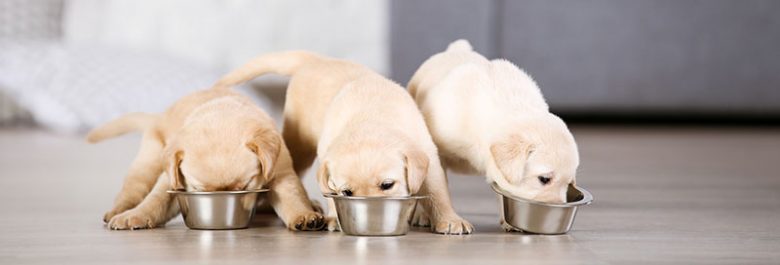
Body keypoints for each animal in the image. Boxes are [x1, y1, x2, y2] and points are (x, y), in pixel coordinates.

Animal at [87, 86, 324, 229]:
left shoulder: (281, 172)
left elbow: (292, 197)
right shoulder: (173, 181)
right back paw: (120, 210)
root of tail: (158, 117)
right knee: (133, 188)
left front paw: (303, 215)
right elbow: (156, 200)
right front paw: (134, 215)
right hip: (148, 160)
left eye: (245, 186)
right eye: (199, 190)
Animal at [213, 50, 472, 234]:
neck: (372, 116)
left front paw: (450, 220)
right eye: (347, 192)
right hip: (299, 143)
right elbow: (330, 193)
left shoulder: (428, 156)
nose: (373, 215)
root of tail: (316, 60)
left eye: (387, 185)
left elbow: (438, 192)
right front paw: (334, 217)